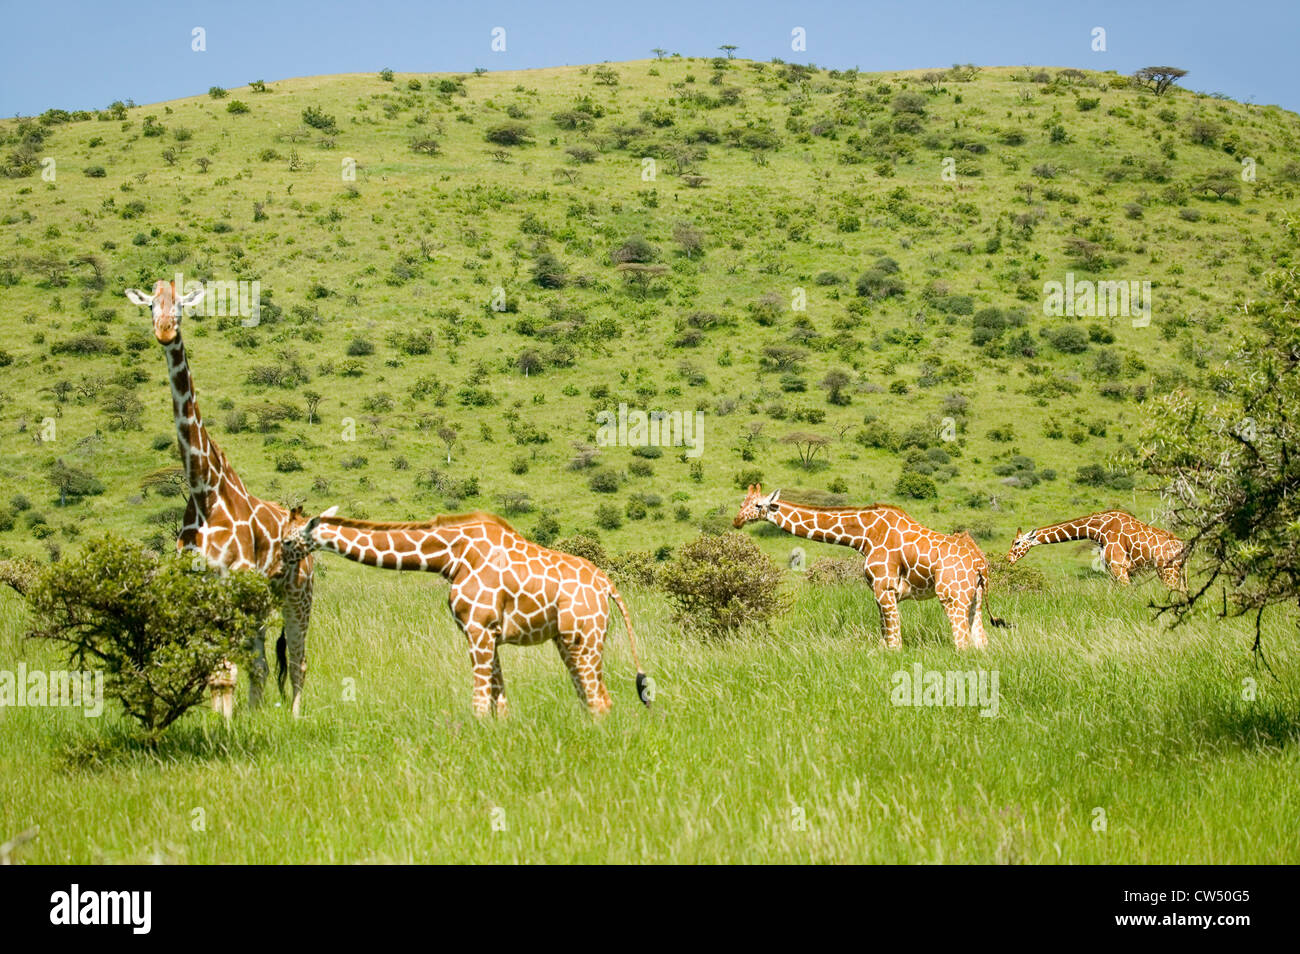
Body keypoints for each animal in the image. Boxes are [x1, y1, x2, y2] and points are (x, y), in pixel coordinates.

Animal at [125, 278, 318, 717]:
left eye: (181, 306)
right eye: (151, 306)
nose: (165, 331)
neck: (203, 492)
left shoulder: (232, 583)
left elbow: (224, 673)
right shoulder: (198, 589)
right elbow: (217, 674)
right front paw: (224, 724)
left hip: (298, 593)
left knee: (298, 660)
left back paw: (297, 716)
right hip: (260, 601)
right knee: (262, 663)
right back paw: (258, 713)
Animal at [282, 509, 650, 717]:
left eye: (286, 541)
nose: (278, 564)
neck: (450, 557)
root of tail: (607, 584)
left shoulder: (478, 628)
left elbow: (479, 705)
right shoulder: (490, 634)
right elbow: (500, 705)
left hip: (584, 637)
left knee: (599, 701)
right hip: (568, 640)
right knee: (592, 698)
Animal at [733, 486, 1003, 649]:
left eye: (757, 505)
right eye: (742, 503)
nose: (737, 520)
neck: (864, 536)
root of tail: (981, 563)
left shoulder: (884, 588)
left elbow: (894, 644)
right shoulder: (880, 592)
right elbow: (885, 639)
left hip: (952, 596)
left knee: (963, 644)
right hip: (975, 597)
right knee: (981, 642)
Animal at [1003, 512, 1190, 595]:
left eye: (1017, 542)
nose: (1008, 559)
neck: (1099, 529)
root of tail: (1183, 546)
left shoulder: (1119, 567)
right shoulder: (1114, 570)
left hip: (1168, 571)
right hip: (1178, 572)